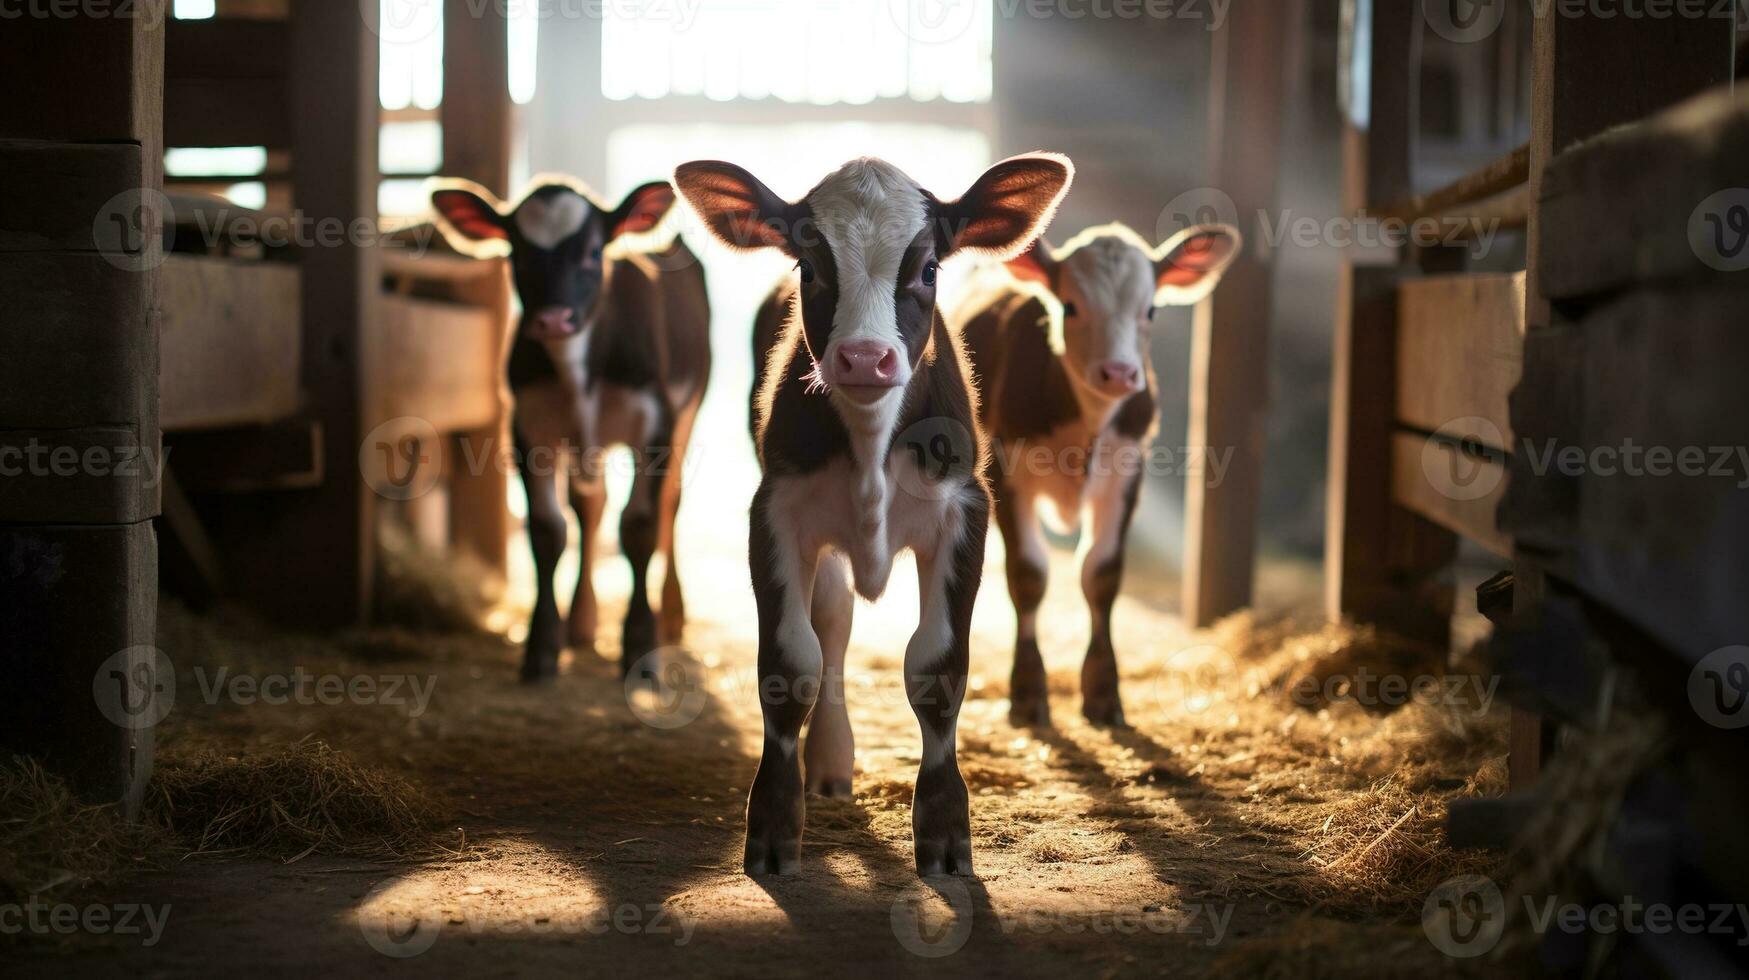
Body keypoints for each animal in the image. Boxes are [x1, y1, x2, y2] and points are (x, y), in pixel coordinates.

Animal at [430, 175, 710, 682]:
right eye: (518, 251)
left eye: (593, 251)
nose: (552, 318)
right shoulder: (528, 428)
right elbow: (548, 532)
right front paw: (542, 647)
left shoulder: (654, 423)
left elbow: (640, 526)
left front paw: (641, 648)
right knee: (590, 506)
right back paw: (581, 623)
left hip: (689, 410)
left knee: (670, 503)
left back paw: (671, 616)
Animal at [675, 156, 1070, 875]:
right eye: (809, 266)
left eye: (928, 268)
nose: (863, 357)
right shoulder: (775, 512)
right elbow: (791, 663)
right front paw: (773, 826)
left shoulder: (965, 511)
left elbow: (938, 668)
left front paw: (944, 830)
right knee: (833, 623)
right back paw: (830, 763)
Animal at [958, 224, 1245, 728]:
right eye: (1070, 306)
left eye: (1150, 310)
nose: (1119, 373)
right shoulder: (1007, 471)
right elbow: (1028, 572)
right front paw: (1028, 692)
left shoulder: (1128, 473)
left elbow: (1102, 572)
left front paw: (1104, 691)